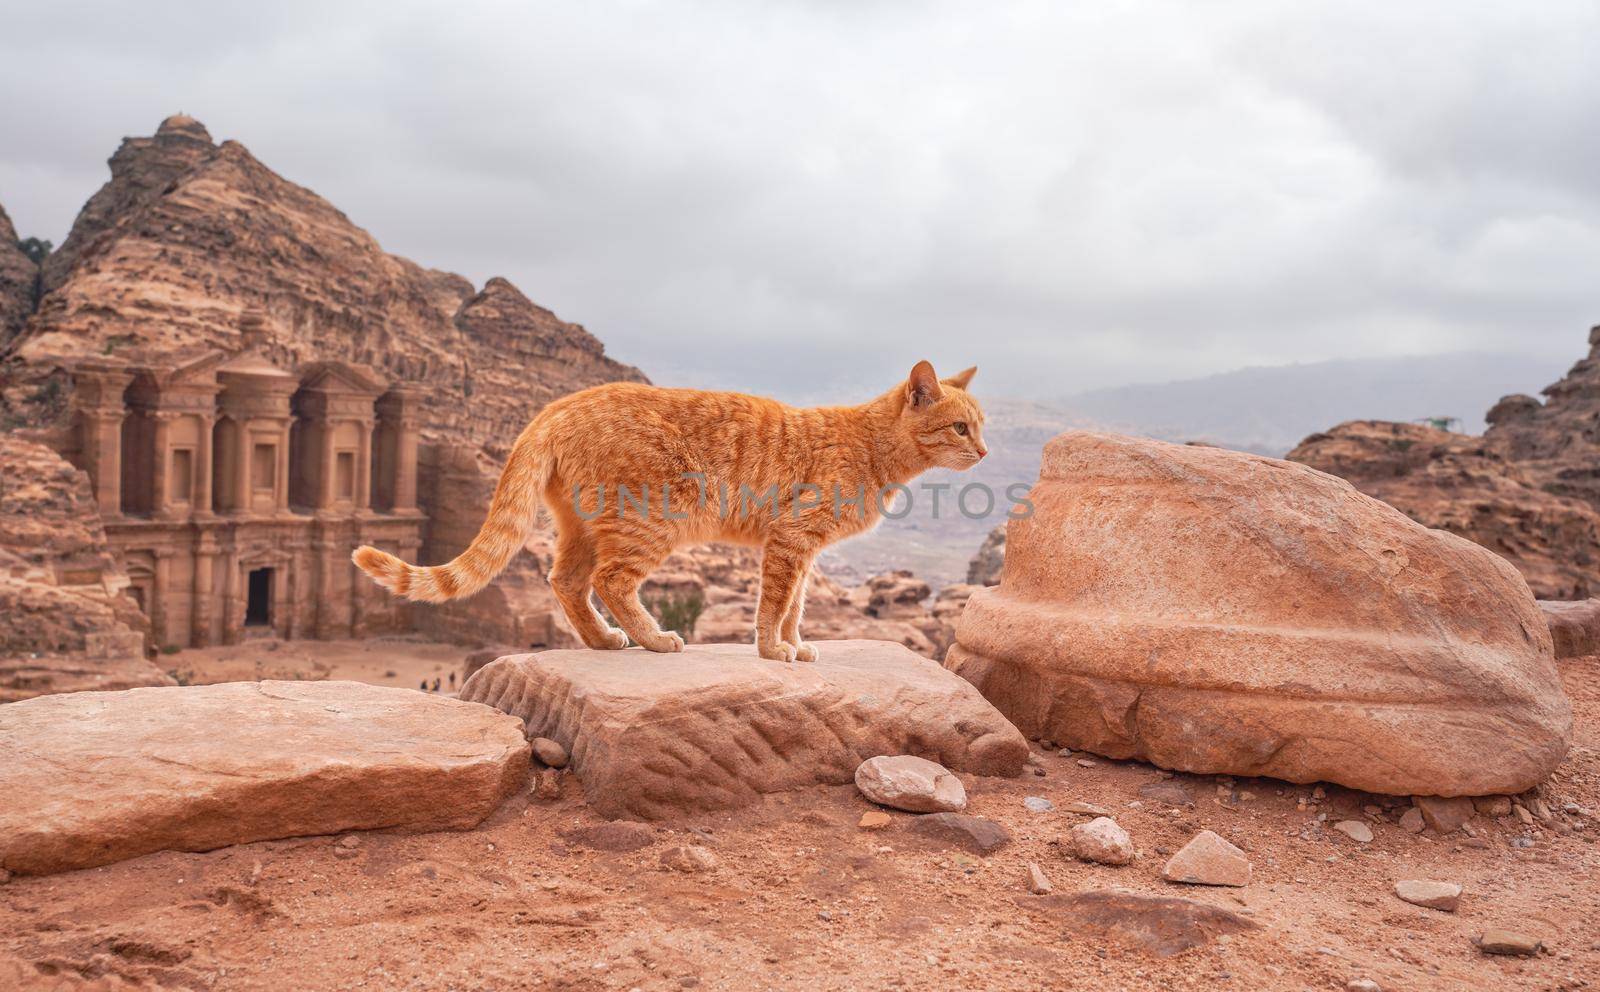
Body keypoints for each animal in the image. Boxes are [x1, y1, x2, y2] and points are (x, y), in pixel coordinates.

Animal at [355, 360, 979, 662]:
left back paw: (603, 641)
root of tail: (557, 406)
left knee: (566, 581)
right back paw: (654, 638)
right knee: (610, 580)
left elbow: (796, 606)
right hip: (653, 520)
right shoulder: (792, 540)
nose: (985, 452)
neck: (874, 447)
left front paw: (795, 645)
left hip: (583, 526)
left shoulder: (803, 549)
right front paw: (772, 650)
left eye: (980, 425)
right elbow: (775, 605)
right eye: (959, 427)